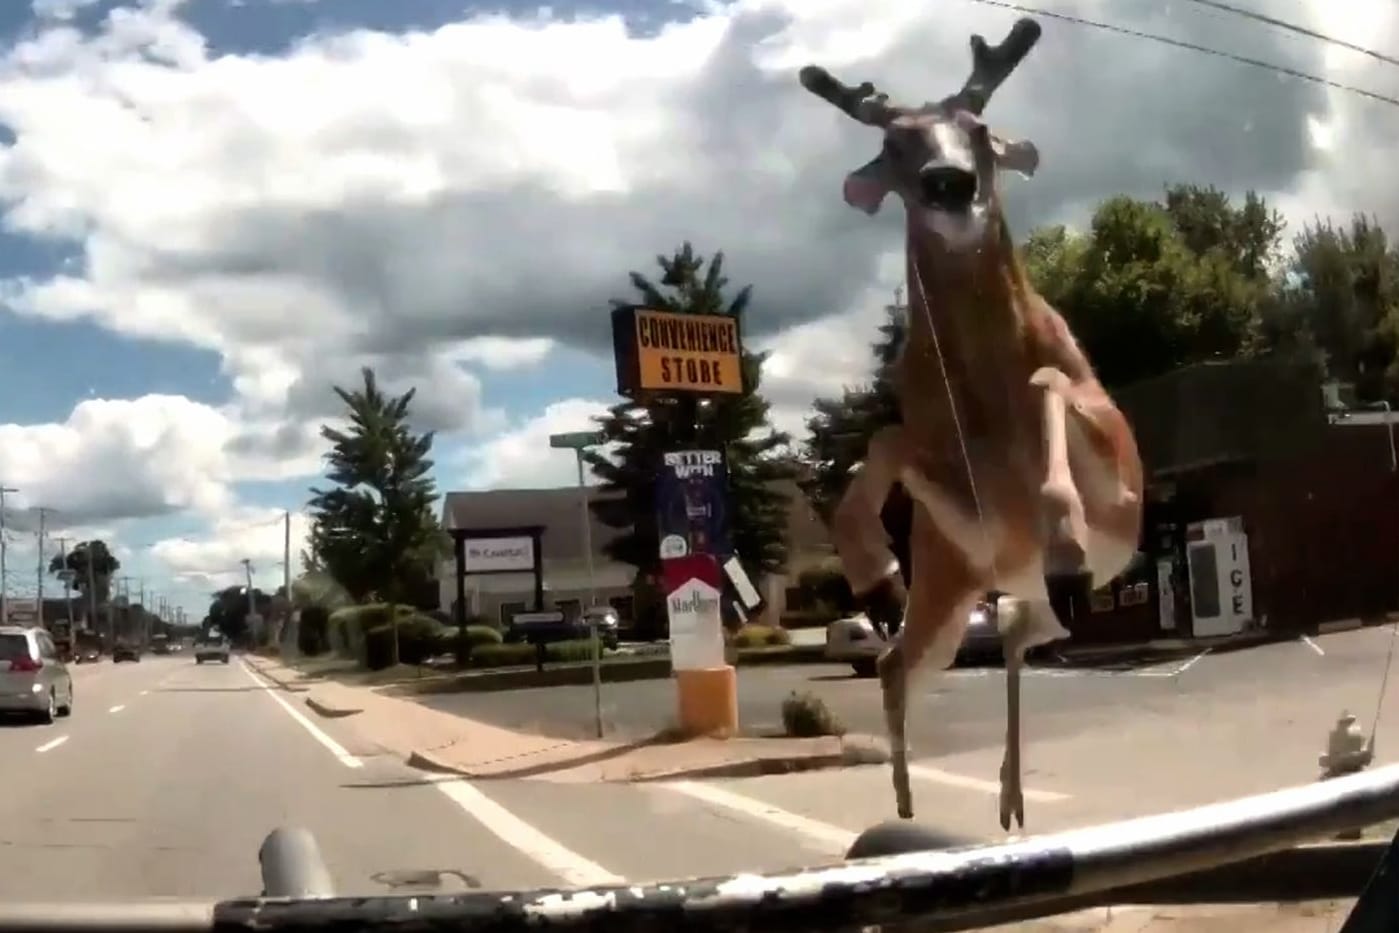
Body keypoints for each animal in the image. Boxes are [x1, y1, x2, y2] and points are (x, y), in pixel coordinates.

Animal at [805, 16, 1141, 833]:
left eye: (981, 130)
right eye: (894, 144)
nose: (948, 183)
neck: (988, 416)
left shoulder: (1119, 475)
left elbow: (1051, 381)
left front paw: (1066, 540)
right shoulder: (959, 508)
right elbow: (885, 438)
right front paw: (872, 571)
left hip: (1012, 592)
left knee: (1019, 635)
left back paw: (1006, 794)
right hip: (950, 583)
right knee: (902, 661)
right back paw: (915, 800)